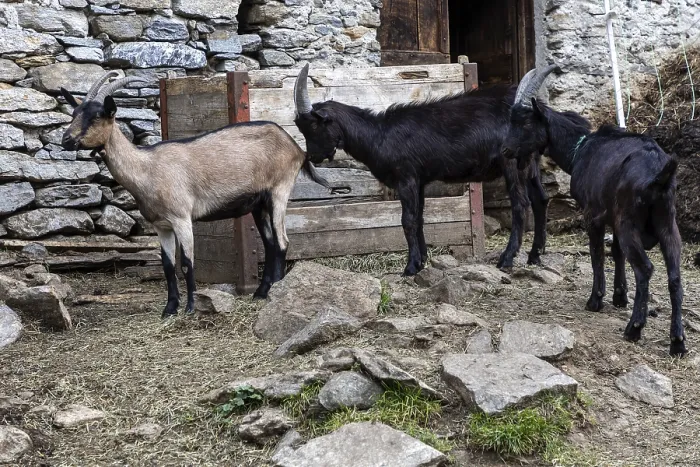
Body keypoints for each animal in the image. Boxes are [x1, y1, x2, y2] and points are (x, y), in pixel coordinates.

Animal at [60, 72, 329, 317]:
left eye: (97, 116)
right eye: (74, 113)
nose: (66, 140)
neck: (147, 168)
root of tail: (295, 147)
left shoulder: (182, 218)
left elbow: (187, 264)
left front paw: (190, 308)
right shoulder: (161, 225)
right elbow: (169, 266)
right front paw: (169, 309)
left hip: (279, 190)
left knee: (282, 242)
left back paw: (276, 291)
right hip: (258, 204)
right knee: (271, 243)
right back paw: (261, 293)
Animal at [292, 64, 550, 276]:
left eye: (314, 125)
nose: (313, 156)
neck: (378, 134)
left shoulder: (405, 177)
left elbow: (407, 220)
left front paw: (410, 267)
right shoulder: (420, 180)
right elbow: (420, 217)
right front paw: (422, 259)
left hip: (512, 163)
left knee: (520, 204)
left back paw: (507, 258)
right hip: (530, 163)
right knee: (540, 199)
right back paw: (535, 255)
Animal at [501, 66, 686, 357]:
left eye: (527, 122)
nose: (505, 149)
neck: (580, 149)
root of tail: (660, 174)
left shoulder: (593, 215)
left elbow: (597, 254)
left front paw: (596, 300)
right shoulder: (613, 217)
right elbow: (616, 252)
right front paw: (619, 296)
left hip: (630, 222)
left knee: (645, 269)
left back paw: (634, 328)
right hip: (667, 223)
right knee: (675, 276)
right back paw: (678, 342)